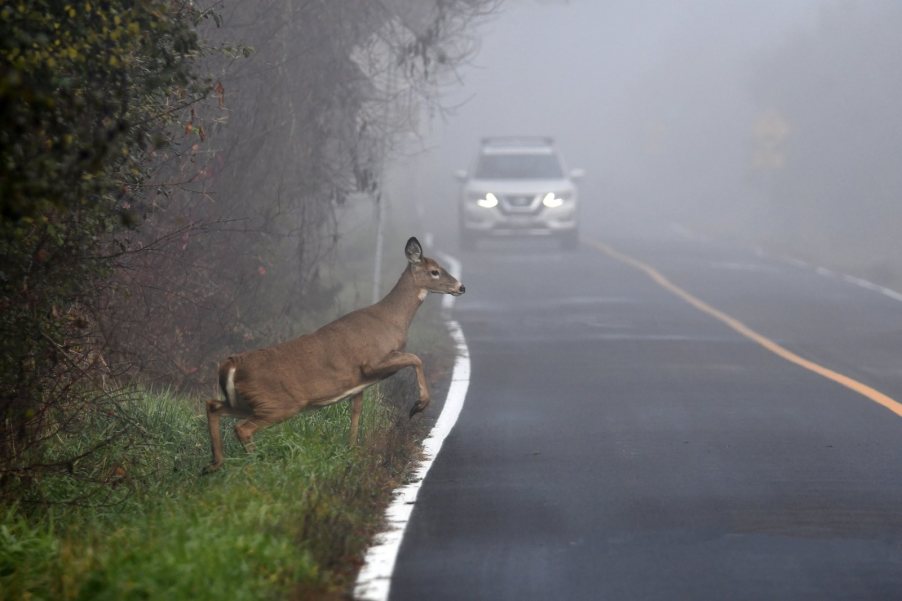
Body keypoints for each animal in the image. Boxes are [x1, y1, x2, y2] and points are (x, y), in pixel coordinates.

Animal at [203, 237, 465, 472]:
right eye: (434, 271)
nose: (461, 287)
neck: (392, 321)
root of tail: (232, 365)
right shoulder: (371, 362)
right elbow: (415, 358)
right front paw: (418, 406)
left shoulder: (360, 384)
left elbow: (356, 415)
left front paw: (352, 453)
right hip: (279, 403)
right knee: (242, 428)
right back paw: (256, 465)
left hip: (248, 401)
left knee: (213, 406)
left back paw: (215, 464)